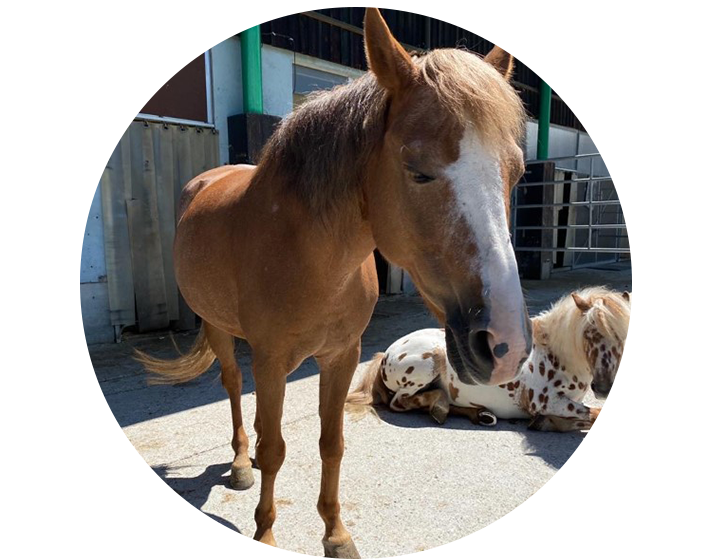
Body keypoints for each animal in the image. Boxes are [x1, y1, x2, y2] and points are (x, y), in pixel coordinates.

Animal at [136, 8, 531, 559]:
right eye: (418, 171)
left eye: (516, 172)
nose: (506, 343)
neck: (311, 256)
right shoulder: (271, 361)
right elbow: (275, 448)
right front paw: (263, 538)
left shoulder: (342, 356)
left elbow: (331, 443)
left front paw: (336, 535)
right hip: (218, 327)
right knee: (234, 389)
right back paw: (239, 464)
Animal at [347, 287, 632, 432]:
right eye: (589, 333)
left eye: (623, 335)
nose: (605, 388)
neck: (553, 354)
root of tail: (386, 353)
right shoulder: (545, 401)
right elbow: (599, 416)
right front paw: (544, 422)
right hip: (426, 364)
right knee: (401, 402)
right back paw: (441, 408)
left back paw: (480, 414)